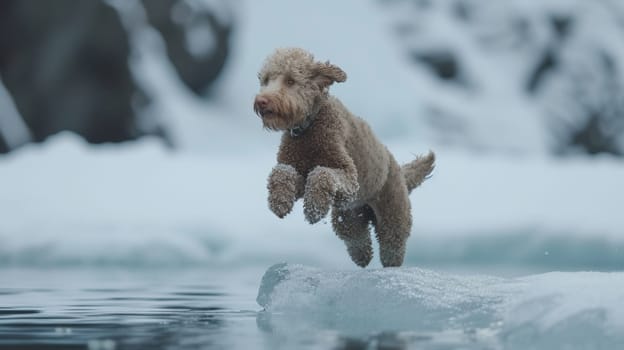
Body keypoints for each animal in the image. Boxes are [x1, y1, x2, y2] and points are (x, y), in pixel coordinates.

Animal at [254, 47, 434, 268]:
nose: (262, 101)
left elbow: (322, 173)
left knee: (392, 247)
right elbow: (281, 172)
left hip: (392, 216)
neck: (308, 128)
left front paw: (314, 209)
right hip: (349, 218)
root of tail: (399, 170)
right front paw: (279, 202)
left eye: (290, 80)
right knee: (358, 243)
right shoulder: (297, 169)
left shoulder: (349, 177)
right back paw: (363, 258)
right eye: (266, 80)